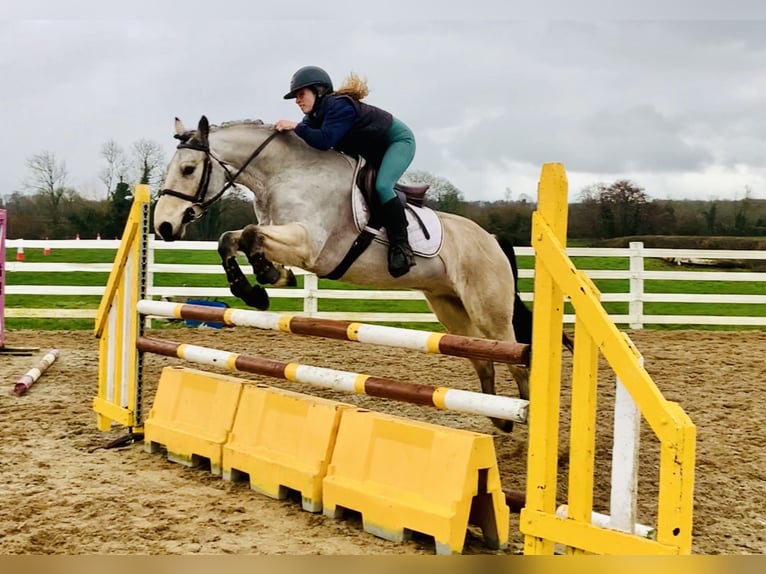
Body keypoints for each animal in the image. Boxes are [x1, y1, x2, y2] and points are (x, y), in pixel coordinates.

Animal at [154, 115, 531, 432]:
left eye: (188, 169)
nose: (164, 226)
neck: (285, 175)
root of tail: (492, 239)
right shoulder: (282, 235)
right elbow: (230, 240)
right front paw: (259, 287)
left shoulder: (310, 245)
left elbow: (248, 235)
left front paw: (268, 276)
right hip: (450, 308)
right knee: (482, 361)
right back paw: (500, 420)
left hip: (489, 312)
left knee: (517, 361)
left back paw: (523, 418)